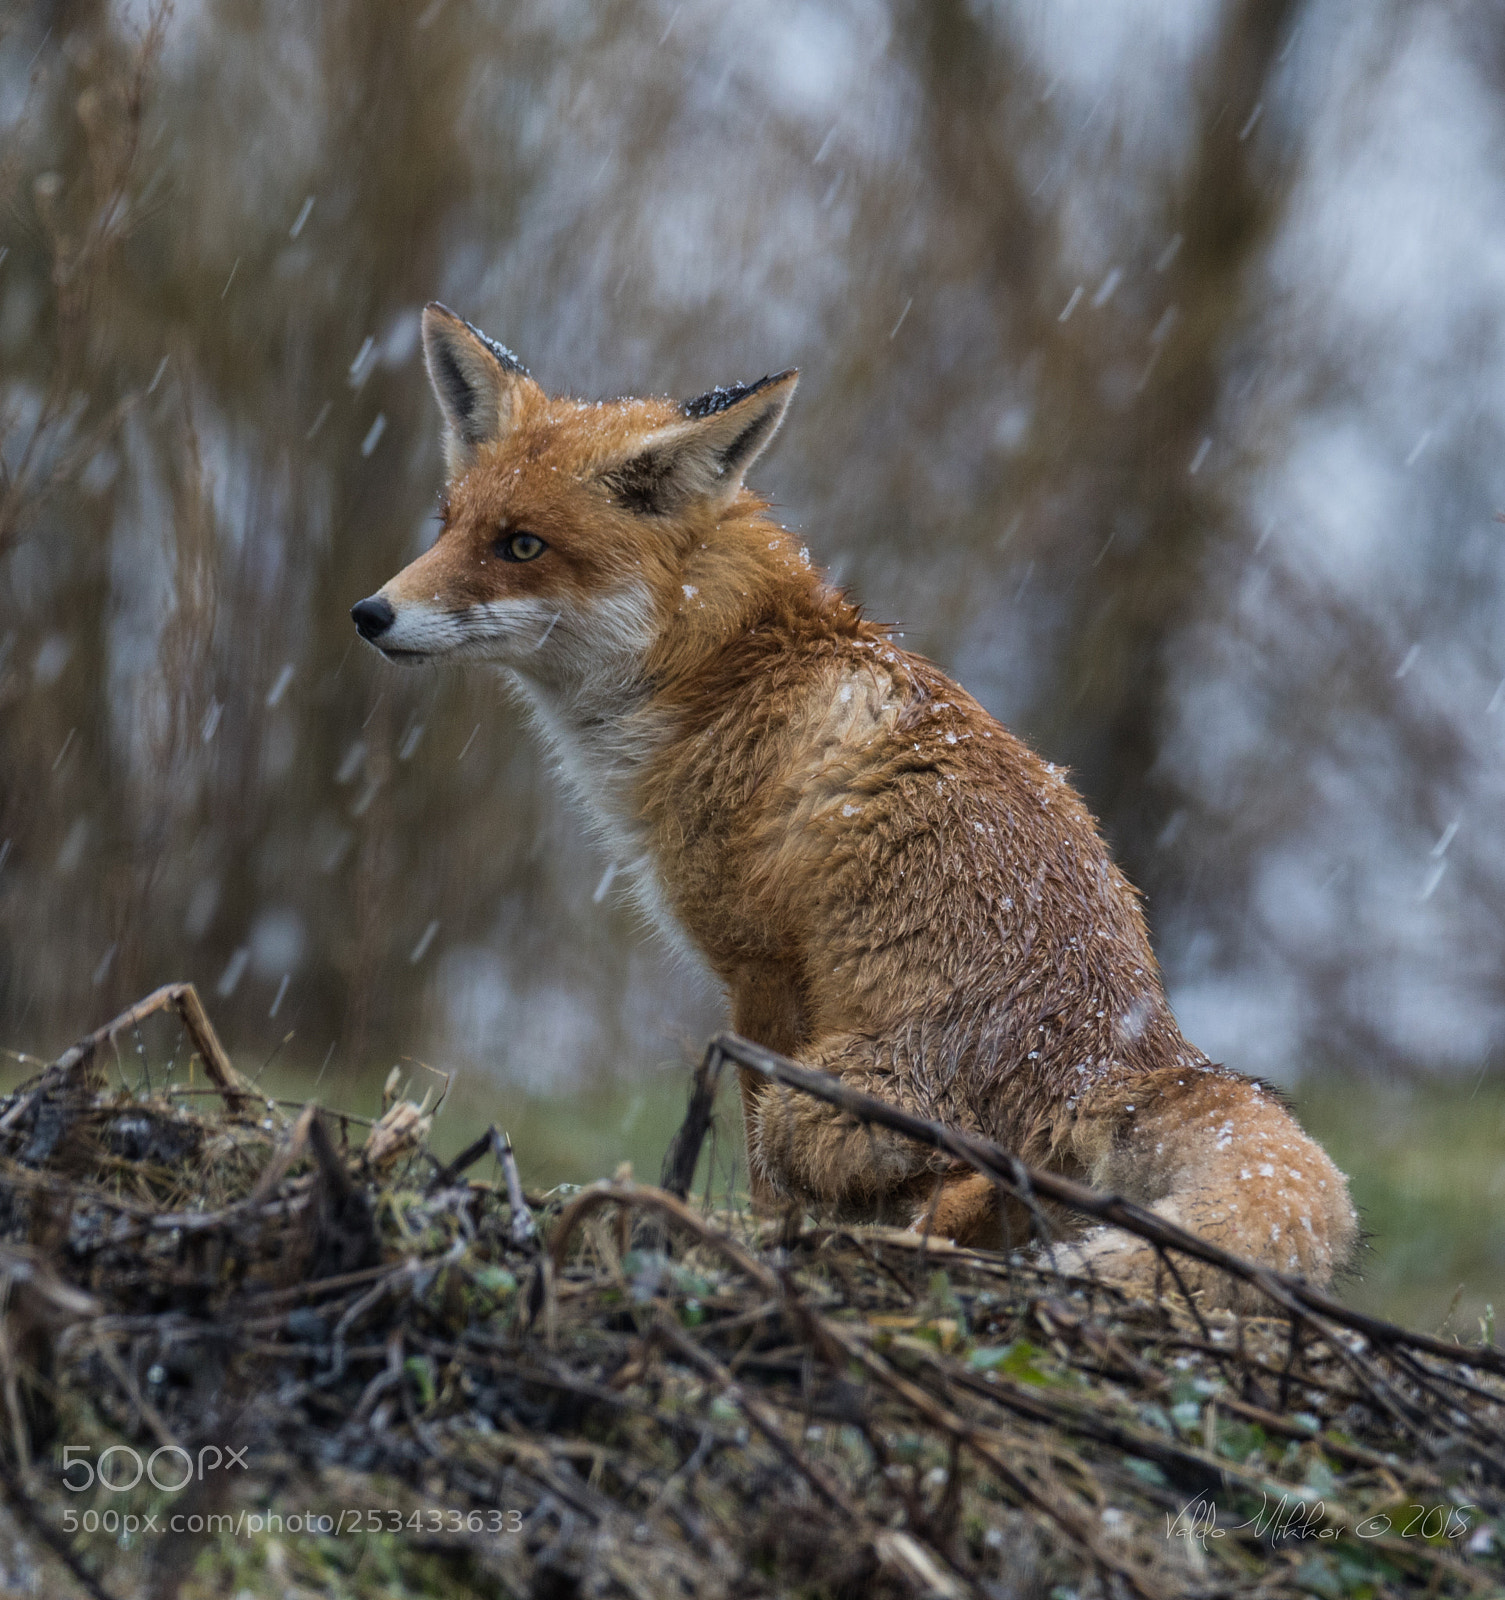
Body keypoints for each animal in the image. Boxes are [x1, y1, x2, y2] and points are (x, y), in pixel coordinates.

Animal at [350, 302, 1357, 1308]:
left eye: (521, 545)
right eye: (447, 526)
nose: (368, 614)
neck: (721, 668)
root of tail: (1135, 1048)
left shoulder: (758, 975)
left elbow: (756, 1168)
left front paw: (747, 1249)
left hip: (819, 1102)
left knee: (979, 1181)